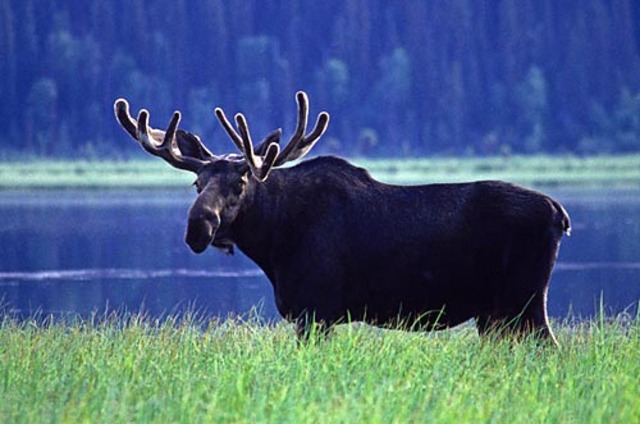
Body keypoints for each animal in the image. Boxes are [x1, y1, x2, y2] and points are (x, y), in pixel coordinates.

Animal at [114, 91, 570, 344]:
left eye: (241, 182)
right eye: (196, 183)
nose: (199, 228)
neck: (274, 242)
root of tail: (560, 215)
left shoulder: (315, 311)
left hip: (524, 301)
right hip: (495, 314)